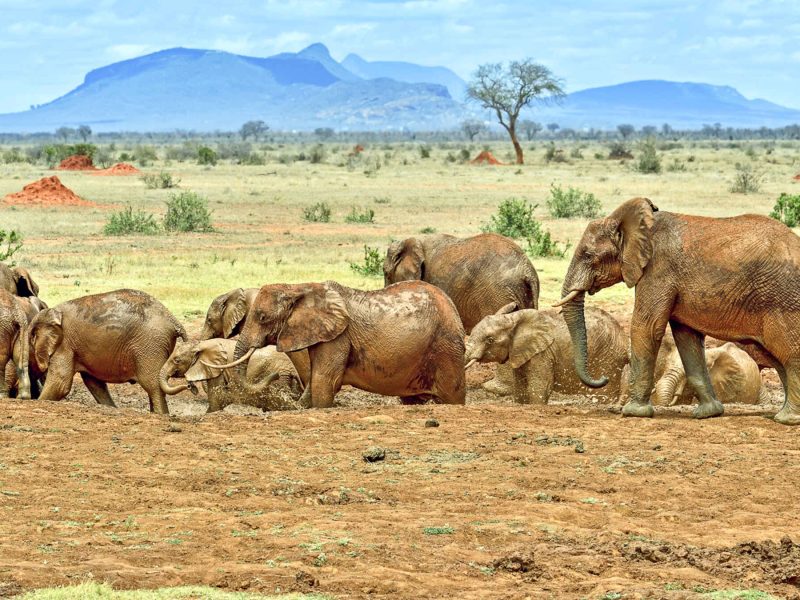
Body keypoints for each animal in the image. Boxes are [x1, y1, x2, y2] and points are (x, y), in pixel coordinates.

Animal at [29, 289, 187, 414]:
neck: (50, 312)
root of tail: (173, 320)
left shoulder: (65, 343)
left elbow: (60, 383)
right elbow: (95, 384)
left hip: (150, 345)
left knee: (152, 385)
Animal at [159, 338, 303, 412]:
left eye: (177, 360)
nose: (190, 387)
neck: (199, 344)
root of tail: (292, 369)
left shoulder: (217, 369)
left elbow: (215, 397)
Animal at [205, 280, 466, 408]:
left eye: (261, 317)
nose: (277, 376)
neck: (298, 288)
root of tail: (453, 307)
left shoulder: (338, 337)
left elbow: (324, 380)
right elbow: (315, 378)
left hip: (445, 346)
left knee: (453, 395)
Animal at [465, 304, 628, 405]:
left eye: (490, 340)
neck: (514, 319)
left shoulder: (542, 354)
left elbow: (539, 388)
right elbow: (520, 389)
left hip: (608, 360)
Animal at [555, 197, 800, 424]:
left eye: (588, 255)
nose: (603, 378)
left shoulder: (658, 270)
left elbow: (646, 327)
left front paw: (633, 412)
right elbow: (687, 338)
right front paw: (708, 413)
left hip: (783, 299)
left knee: (790, 354)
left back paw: (787, 419)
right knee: (778, 359)